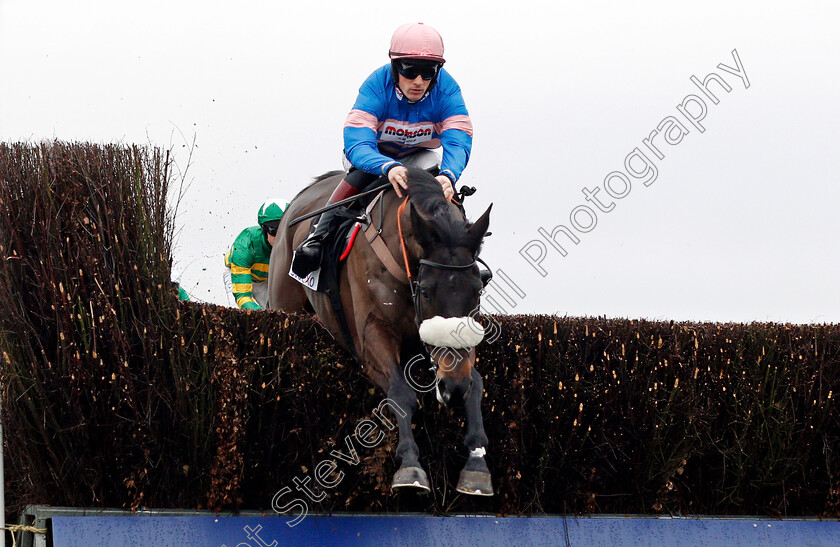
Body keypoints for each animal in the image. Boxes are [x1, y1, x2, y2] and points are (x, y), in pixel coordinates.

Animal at [268, 167, 492, 496]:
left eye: (477, 290)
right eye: (426, 291)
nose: (452, 387)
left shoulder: (466, 333)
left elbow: (475, 384)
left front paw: (477, 464)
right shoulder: (372, 336)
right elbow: (401, 393)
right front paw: (409, 465)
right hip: (284, 305)